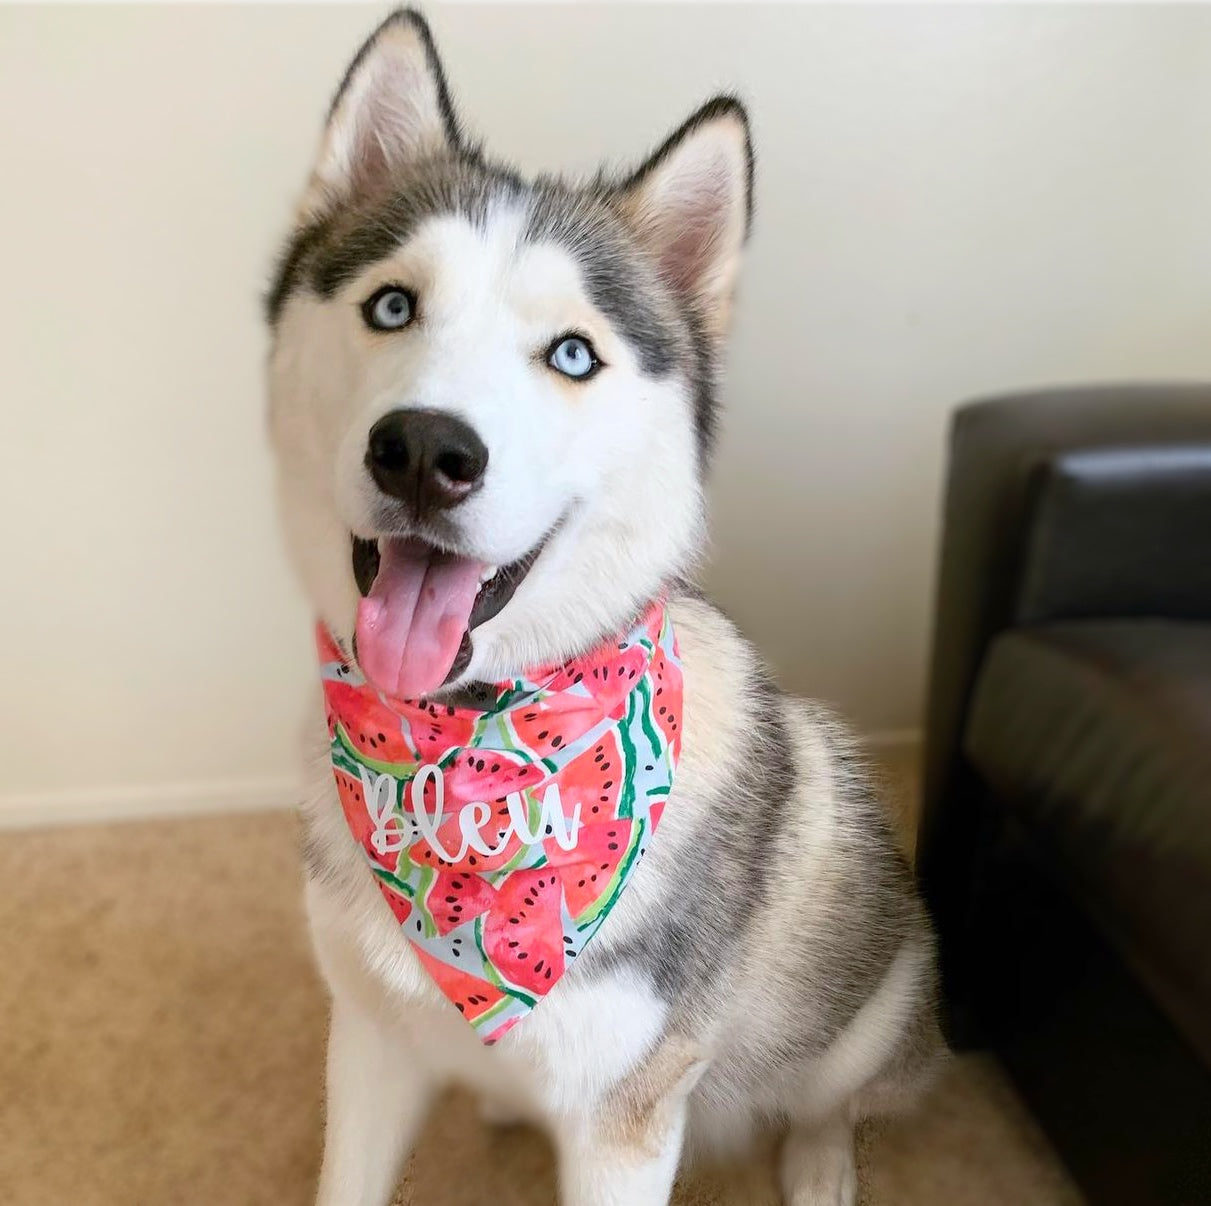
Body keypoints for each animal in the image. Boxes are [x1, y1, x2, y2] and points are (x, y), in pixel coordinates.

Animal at [267, 11, 944, 1206]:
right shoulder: (370, 1044)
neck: (462, 748)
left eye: (572, 354)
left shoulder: (621, 1123)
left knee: (833, 1096)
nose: (425, 451)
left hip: (869, 980)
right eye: (392, 305)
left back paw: (818, 1160)